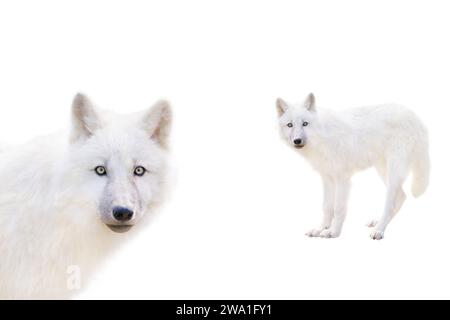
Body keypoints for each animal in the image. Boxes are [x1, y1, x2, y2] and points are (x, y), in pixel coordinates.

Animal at [278, 92, 428, 240]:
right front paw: (320, 229)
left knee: (390, 204)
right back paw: (377, 223)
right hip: (383, 171)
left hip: (393, 172)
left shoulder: (342, 179)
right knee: (402, 196)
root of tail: (414, 116)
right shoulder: (327, 178)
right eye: (290, 125)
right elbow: (327, 207)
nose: (297, 141)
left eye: (305, 123)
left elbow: (338, 209)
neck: (323, 137)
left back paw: (378, 230)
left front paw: (333, 232)